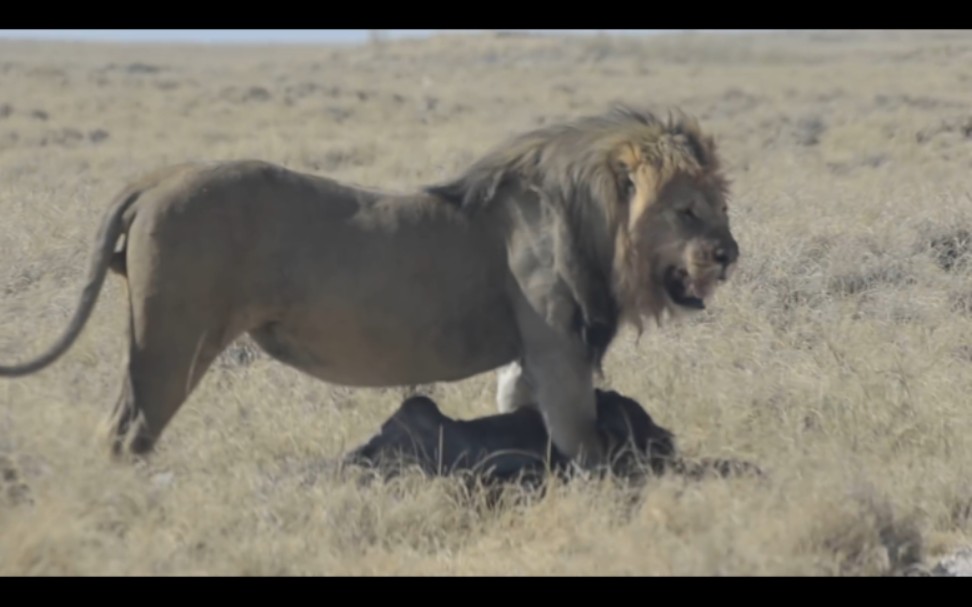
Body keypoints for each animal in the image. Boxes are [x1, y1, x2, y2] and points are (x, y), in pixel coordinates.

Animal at [0, 104, 736, 468]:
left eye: (720, 205)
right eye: (686, 211)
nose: (730, 254)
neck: (593, 223)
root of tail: (158, 177)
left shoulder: (533, 356)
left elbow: (528, 418)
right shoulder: (560, 349)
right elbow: (583, 445)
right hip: (171, 339)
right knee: (128, 430)